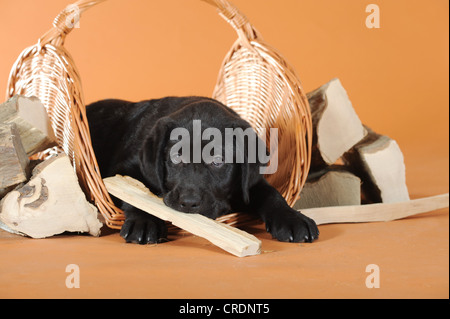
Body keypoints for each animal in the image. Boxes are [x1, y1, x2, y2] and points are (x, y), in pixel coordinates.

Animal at [87, 97, 320, 245]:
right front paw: (144, 222)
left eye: (218, 161)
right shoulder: (126, 168)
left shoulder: (249, 183)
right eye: (176, 157)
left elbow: (271, 194)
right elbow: (135, 193)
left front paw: (292, 219)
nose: (189, 203)